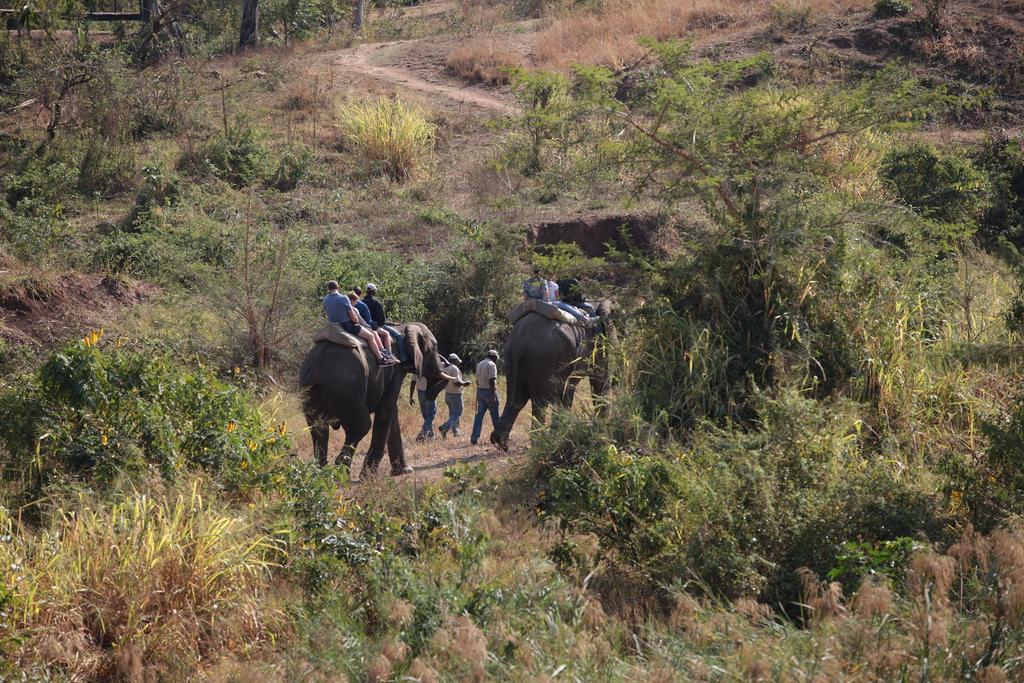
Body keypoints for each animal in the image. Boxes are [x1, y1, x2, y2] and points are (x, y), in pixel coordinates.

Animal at [299, 323, 454, 479]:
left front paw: (404, 471)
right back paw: (340, 474)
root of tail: (317, 370)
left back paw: (321, 475)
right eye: (434, 348)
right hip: (349, 390)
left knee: (318, 428)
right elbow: (386, 412)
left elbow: (392, 412)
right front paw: (368, 477)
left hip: (310, 390)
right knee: (360, 427)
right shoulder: (395, 369)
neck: (403, 328)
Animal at [489, 301, 610, 450]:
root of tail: (519, 339)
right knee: (539, 403)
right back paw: (542, 442)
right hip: (543, 358)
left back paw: (501, 442)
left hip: (512, 357)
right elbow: (585, 382)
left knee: (517, 399)